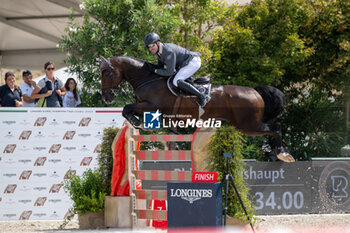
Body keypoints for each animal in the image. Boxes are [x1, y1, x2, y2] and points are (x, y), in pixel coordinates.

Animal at [99, 55, 296, 163]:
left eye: (106, 72)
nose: (106, 97)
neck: (147, 79)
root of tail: (255, 91)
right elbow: (127, 110)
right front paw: (137, 122)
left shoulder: (152, 107)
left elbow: (127, 108)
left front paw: (137, 122)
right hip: (247, 125)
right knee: (273, 129)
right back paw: (277, 152)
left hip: (248, 125)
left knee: (275, 128)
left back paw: (282, 154)